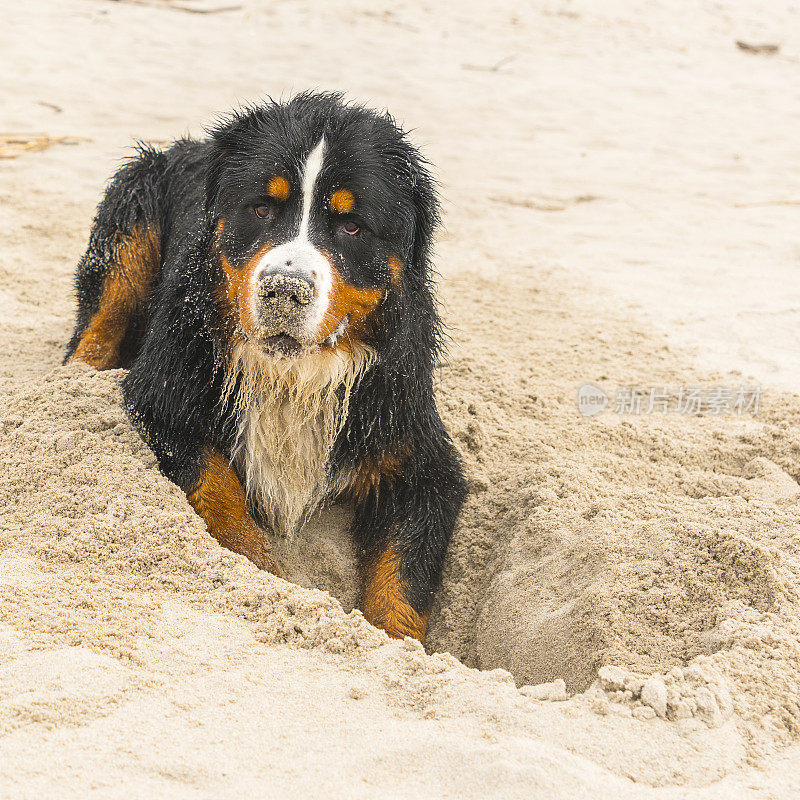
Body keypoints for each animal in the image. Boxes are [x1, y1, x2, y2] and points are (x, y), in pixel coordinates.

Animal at [69, 92, 472, 644]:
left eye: (351, 226)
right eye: (261, 209)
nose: (286, 288)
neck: (292, 377)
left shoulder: (420, 460)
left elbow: (403, 577)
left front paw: (394, 643)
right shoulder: (162, 403)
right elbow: (217, 489)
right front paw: (261, 570)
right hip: (133, 214)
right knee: (96, 327)